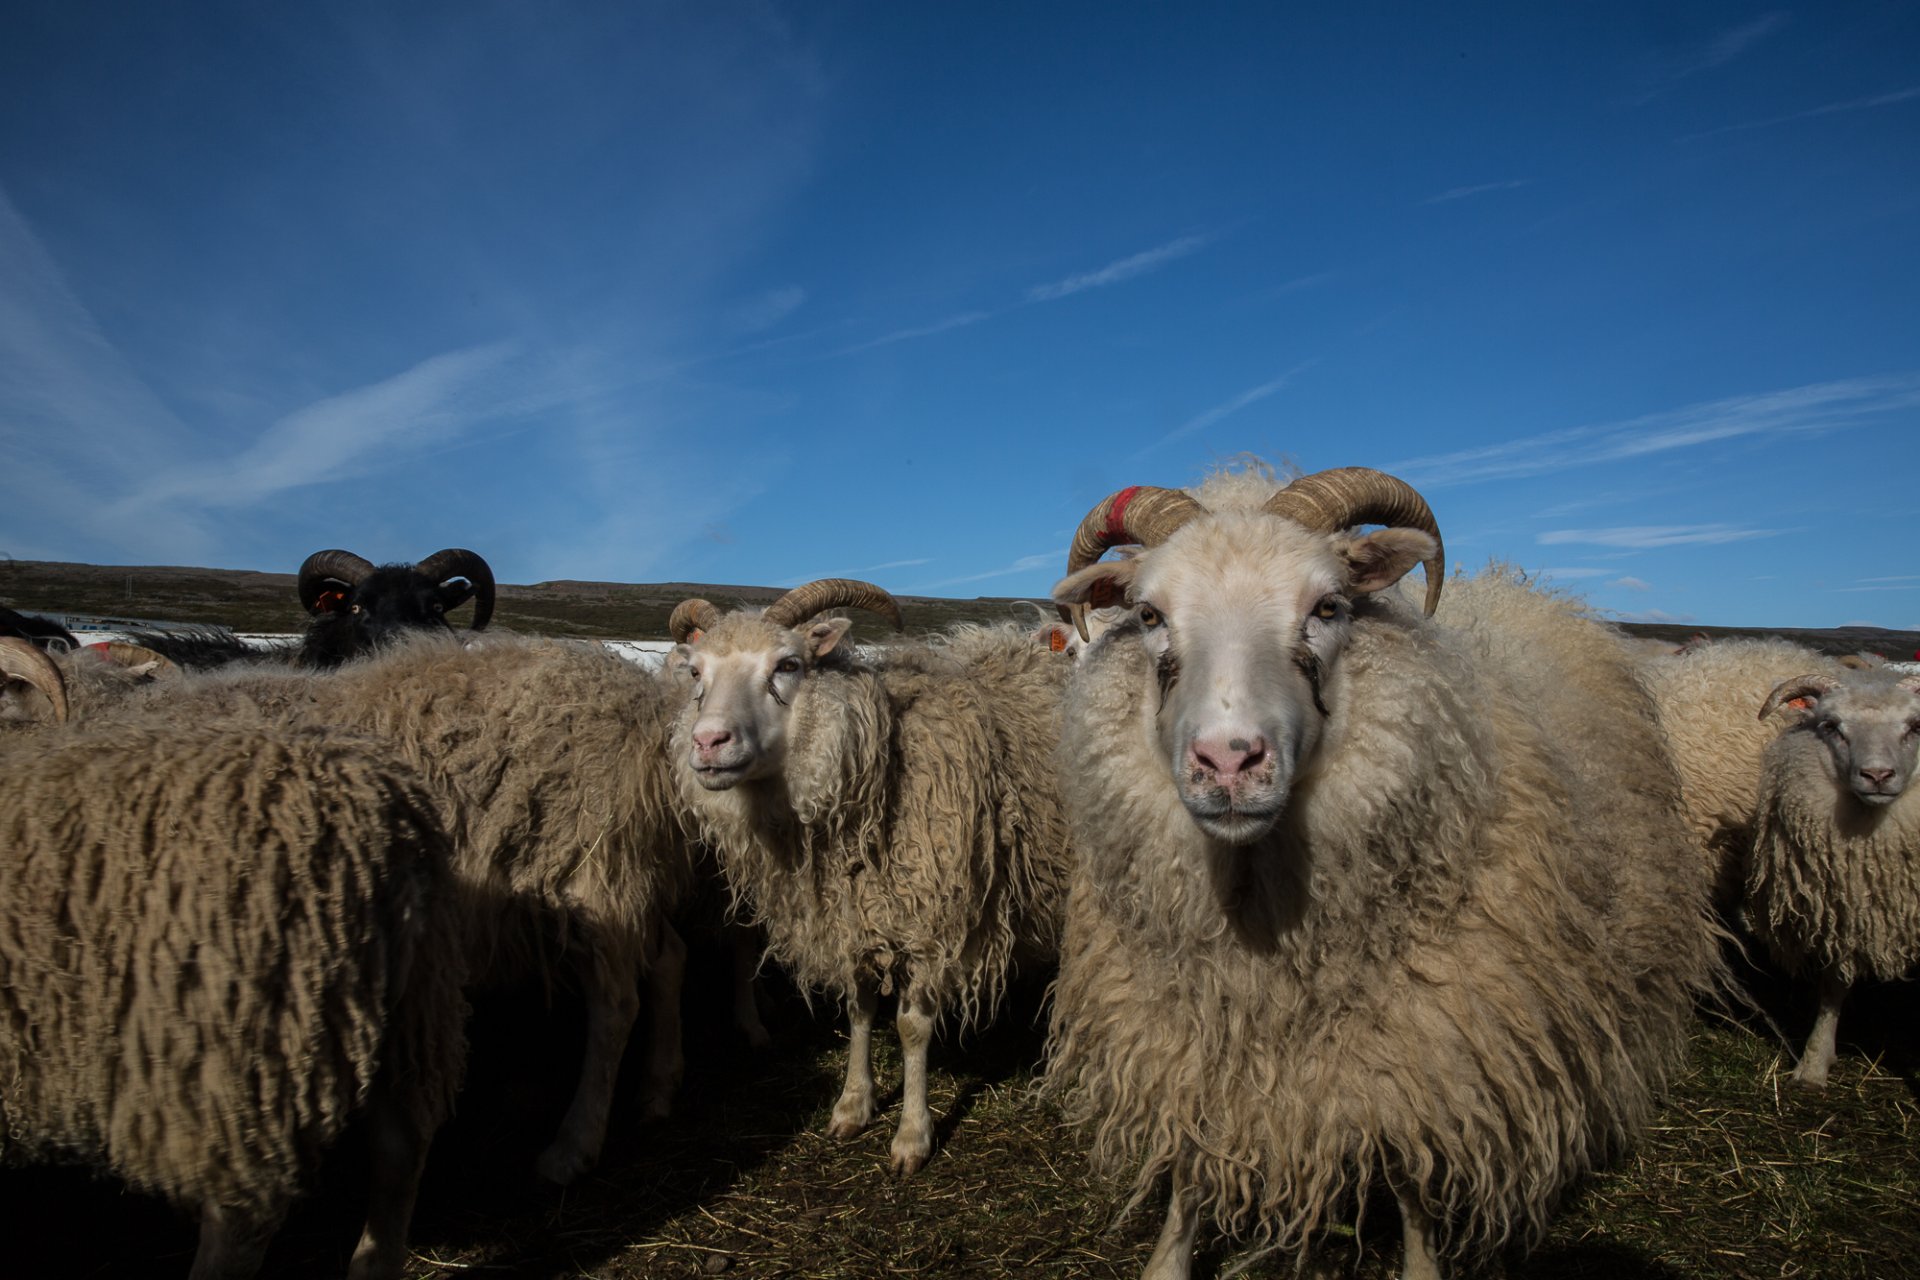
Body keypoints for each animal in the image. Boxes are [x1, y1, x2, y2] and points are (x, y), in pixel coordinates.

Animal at [1044, 466, 1720, 1274]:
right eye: (1148, 613)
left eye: (1328, 606)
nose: (1229, 763)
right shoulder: (1187, 1044)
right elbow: (1191, 1159)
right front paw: (1169, 1258)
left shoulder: (1430, 1051)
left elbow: (1415, 1182)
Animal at [1743, 667, 1920, 1090]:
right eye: (1832, 726)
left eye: (1914, 726)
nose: (1877, 775)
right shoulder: (1841, 910)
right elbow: (1832, 987)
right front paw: (1814, 1064)